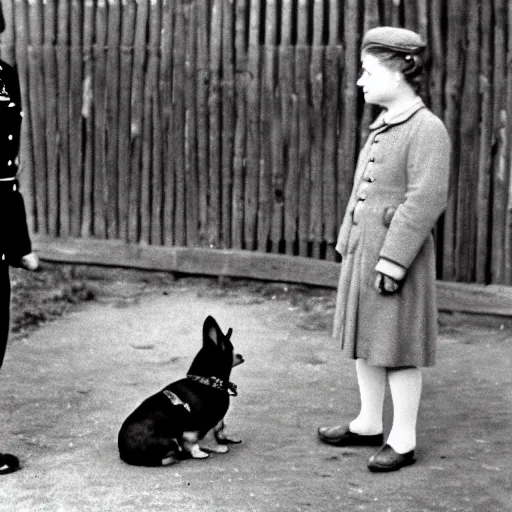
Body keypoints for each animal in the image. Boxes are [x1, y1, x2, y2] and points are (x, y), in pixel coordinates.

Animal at [118, 314, 244, 466]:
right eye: (231, 350)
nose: (241, 356)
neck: (208, 381)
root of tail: (124, 454)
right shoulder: (206, 423)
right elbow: (208, 436)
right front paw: (218, 447)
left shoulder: (217, 421)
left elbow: (221, 429)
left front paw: (227, 438)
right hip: (171, 441)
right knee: (170, 457)